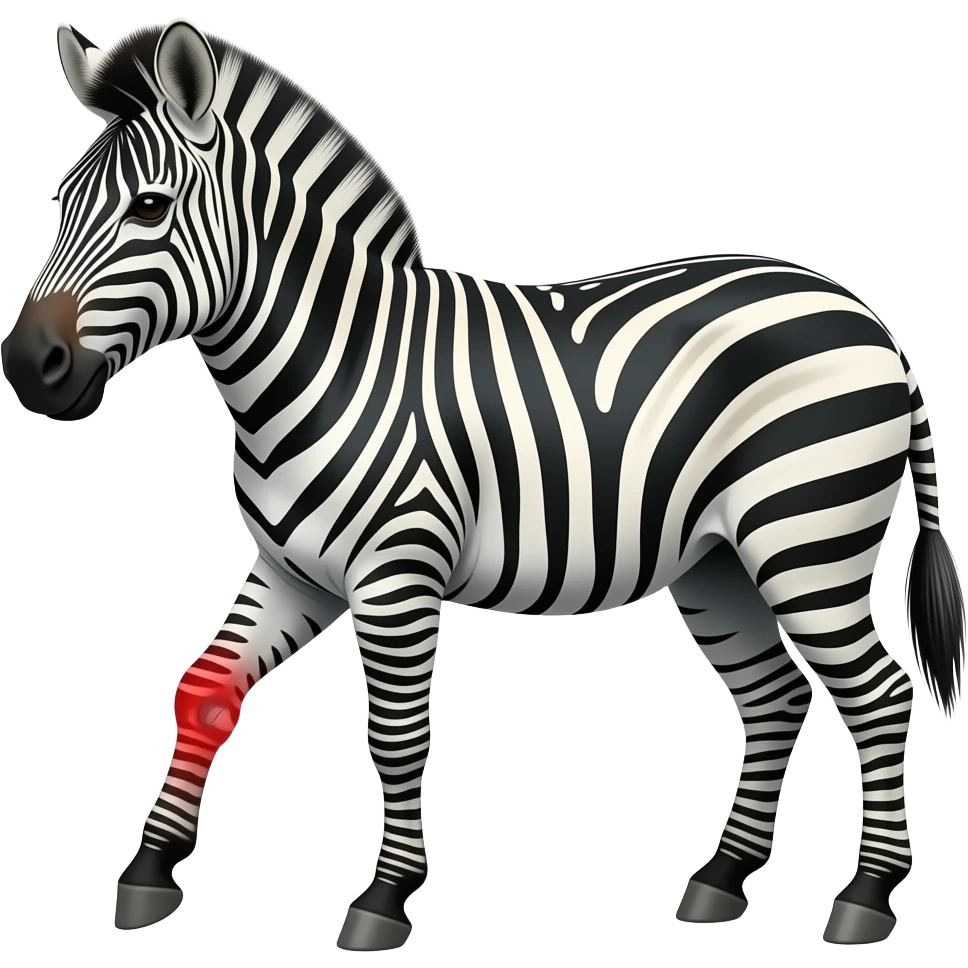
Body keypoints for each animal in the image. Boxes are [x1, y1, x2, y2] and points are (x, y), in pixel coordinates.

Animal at [2, 18, 964, 952]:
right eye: (60, 202)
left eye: (150, 207)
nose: (27, 368)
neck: (331, 361)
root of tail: (869, 318)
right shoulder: (293, 571)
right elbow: (202, 689)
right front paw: (148, 873)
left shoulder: (397, 572)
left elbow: (395, 734)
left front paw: (385, 898)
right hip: (718, 562)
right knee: (775, 696)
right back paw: (721, 882)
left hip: (807, 541)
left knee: (878, 696)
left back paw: (865, 897)